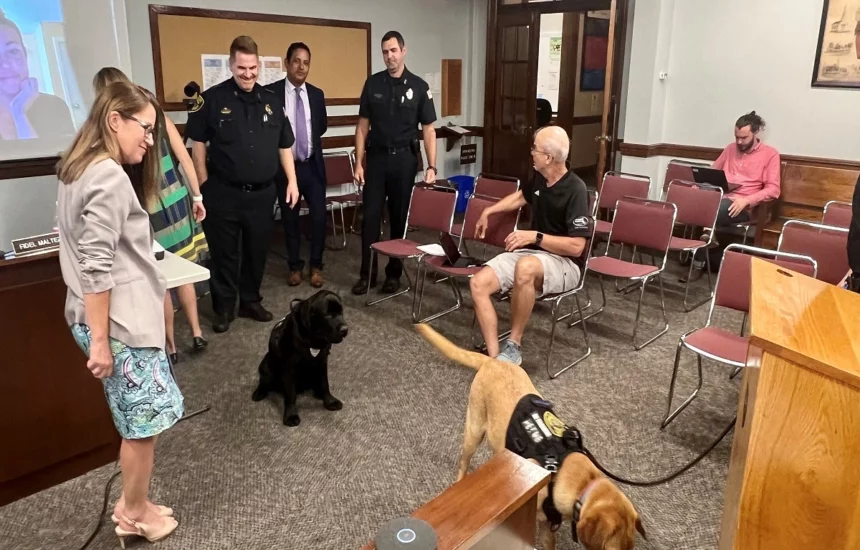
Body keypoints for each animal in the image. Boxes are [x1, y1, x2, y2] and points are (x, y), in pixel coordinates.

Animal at [252, 292, 350, 430]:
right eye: (327, 314)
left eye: (341, 312)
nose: (345, 329)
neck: (314, 339)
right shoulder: (289, 368)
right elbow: (290, 395)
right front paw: (291, 415)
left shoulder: (322, 362)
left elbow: (325, 383)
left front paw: (330, 401)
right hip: (265, 365)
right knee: (263, 381)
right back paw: (259, 392)